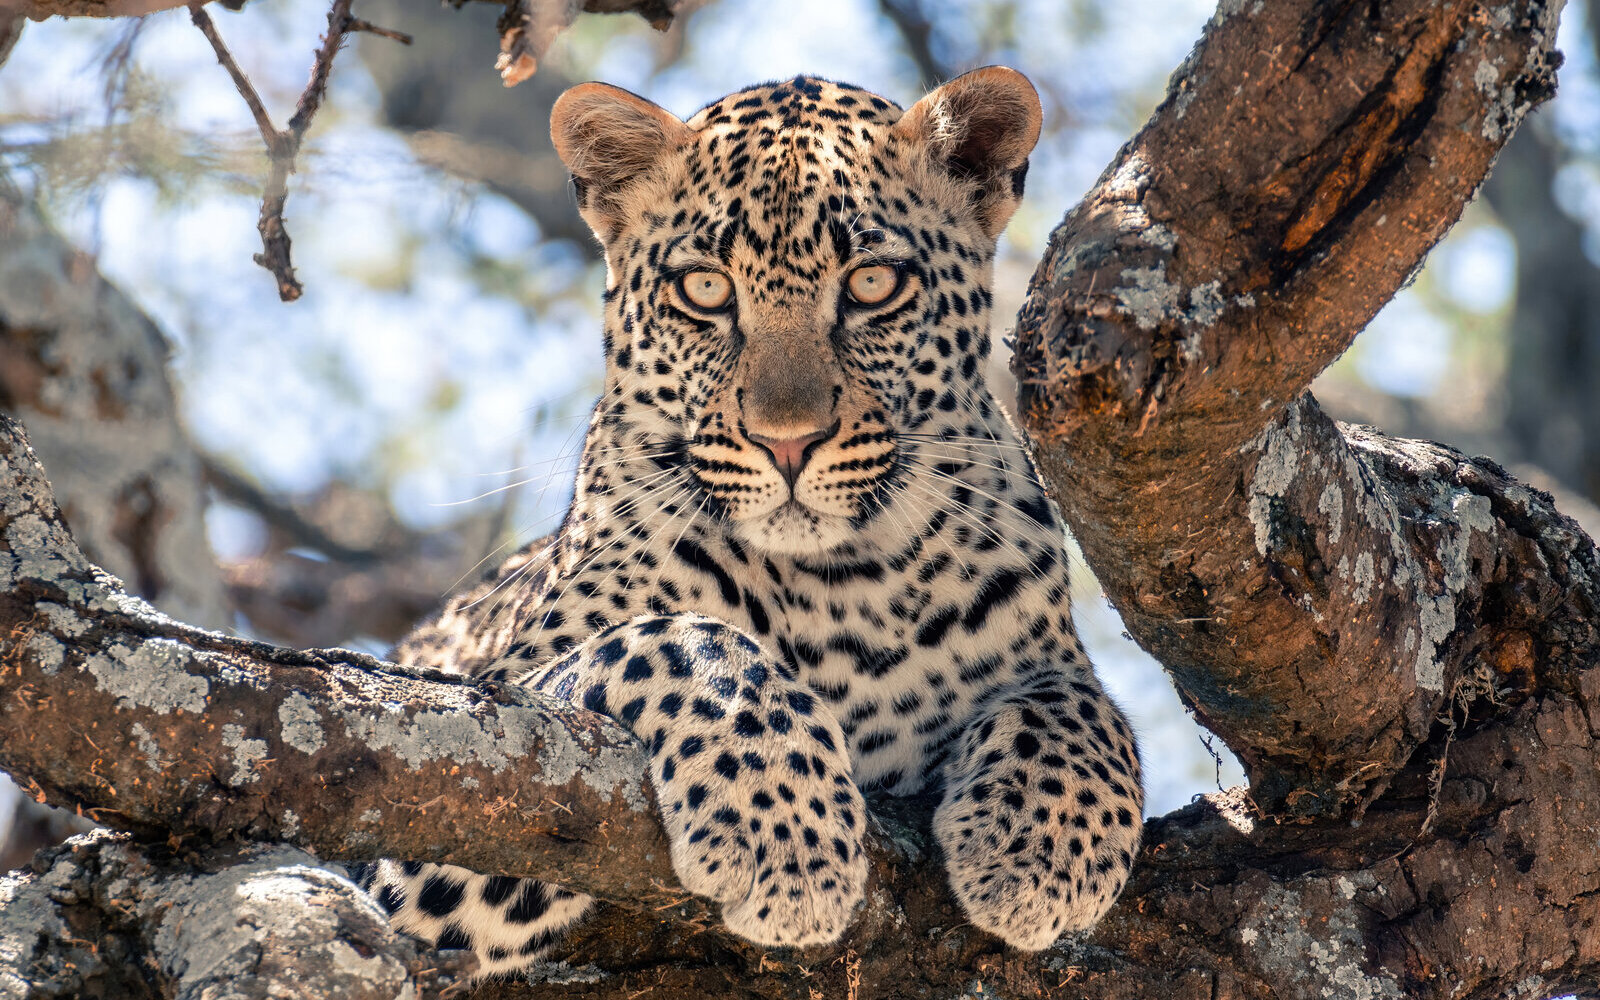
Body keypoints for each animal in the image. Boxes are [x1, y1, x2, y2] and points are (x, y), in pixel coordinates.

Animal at [357, 67, 1143, 977]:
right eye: (705, 289)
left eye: (872, 284)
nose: (788, 441)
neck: (843, 585)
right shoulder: (461, 781)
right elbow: (678, 636)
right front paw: (789, 838)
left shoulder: (1046, 651)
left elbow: (1080, 703)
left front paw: (1045, 849)